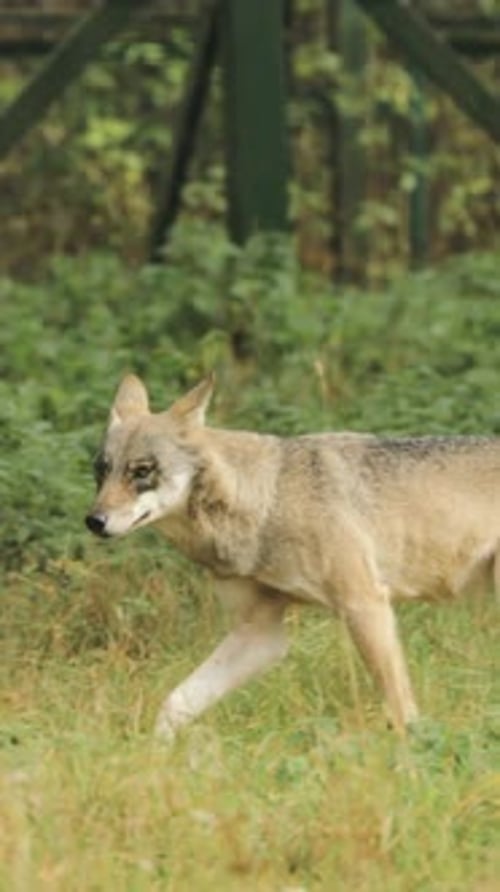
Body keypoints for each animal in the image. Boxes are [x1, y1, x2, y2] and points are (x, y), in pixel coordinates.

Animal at [85, 374, 500, 741]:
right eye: (102, 471)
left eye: (141, 471)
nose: (93, 521)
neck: (269, 499)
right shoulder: (261, 633)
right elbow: (176, 702)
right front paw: (156, 755)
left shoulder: (365, 605)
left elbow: (401, 709)